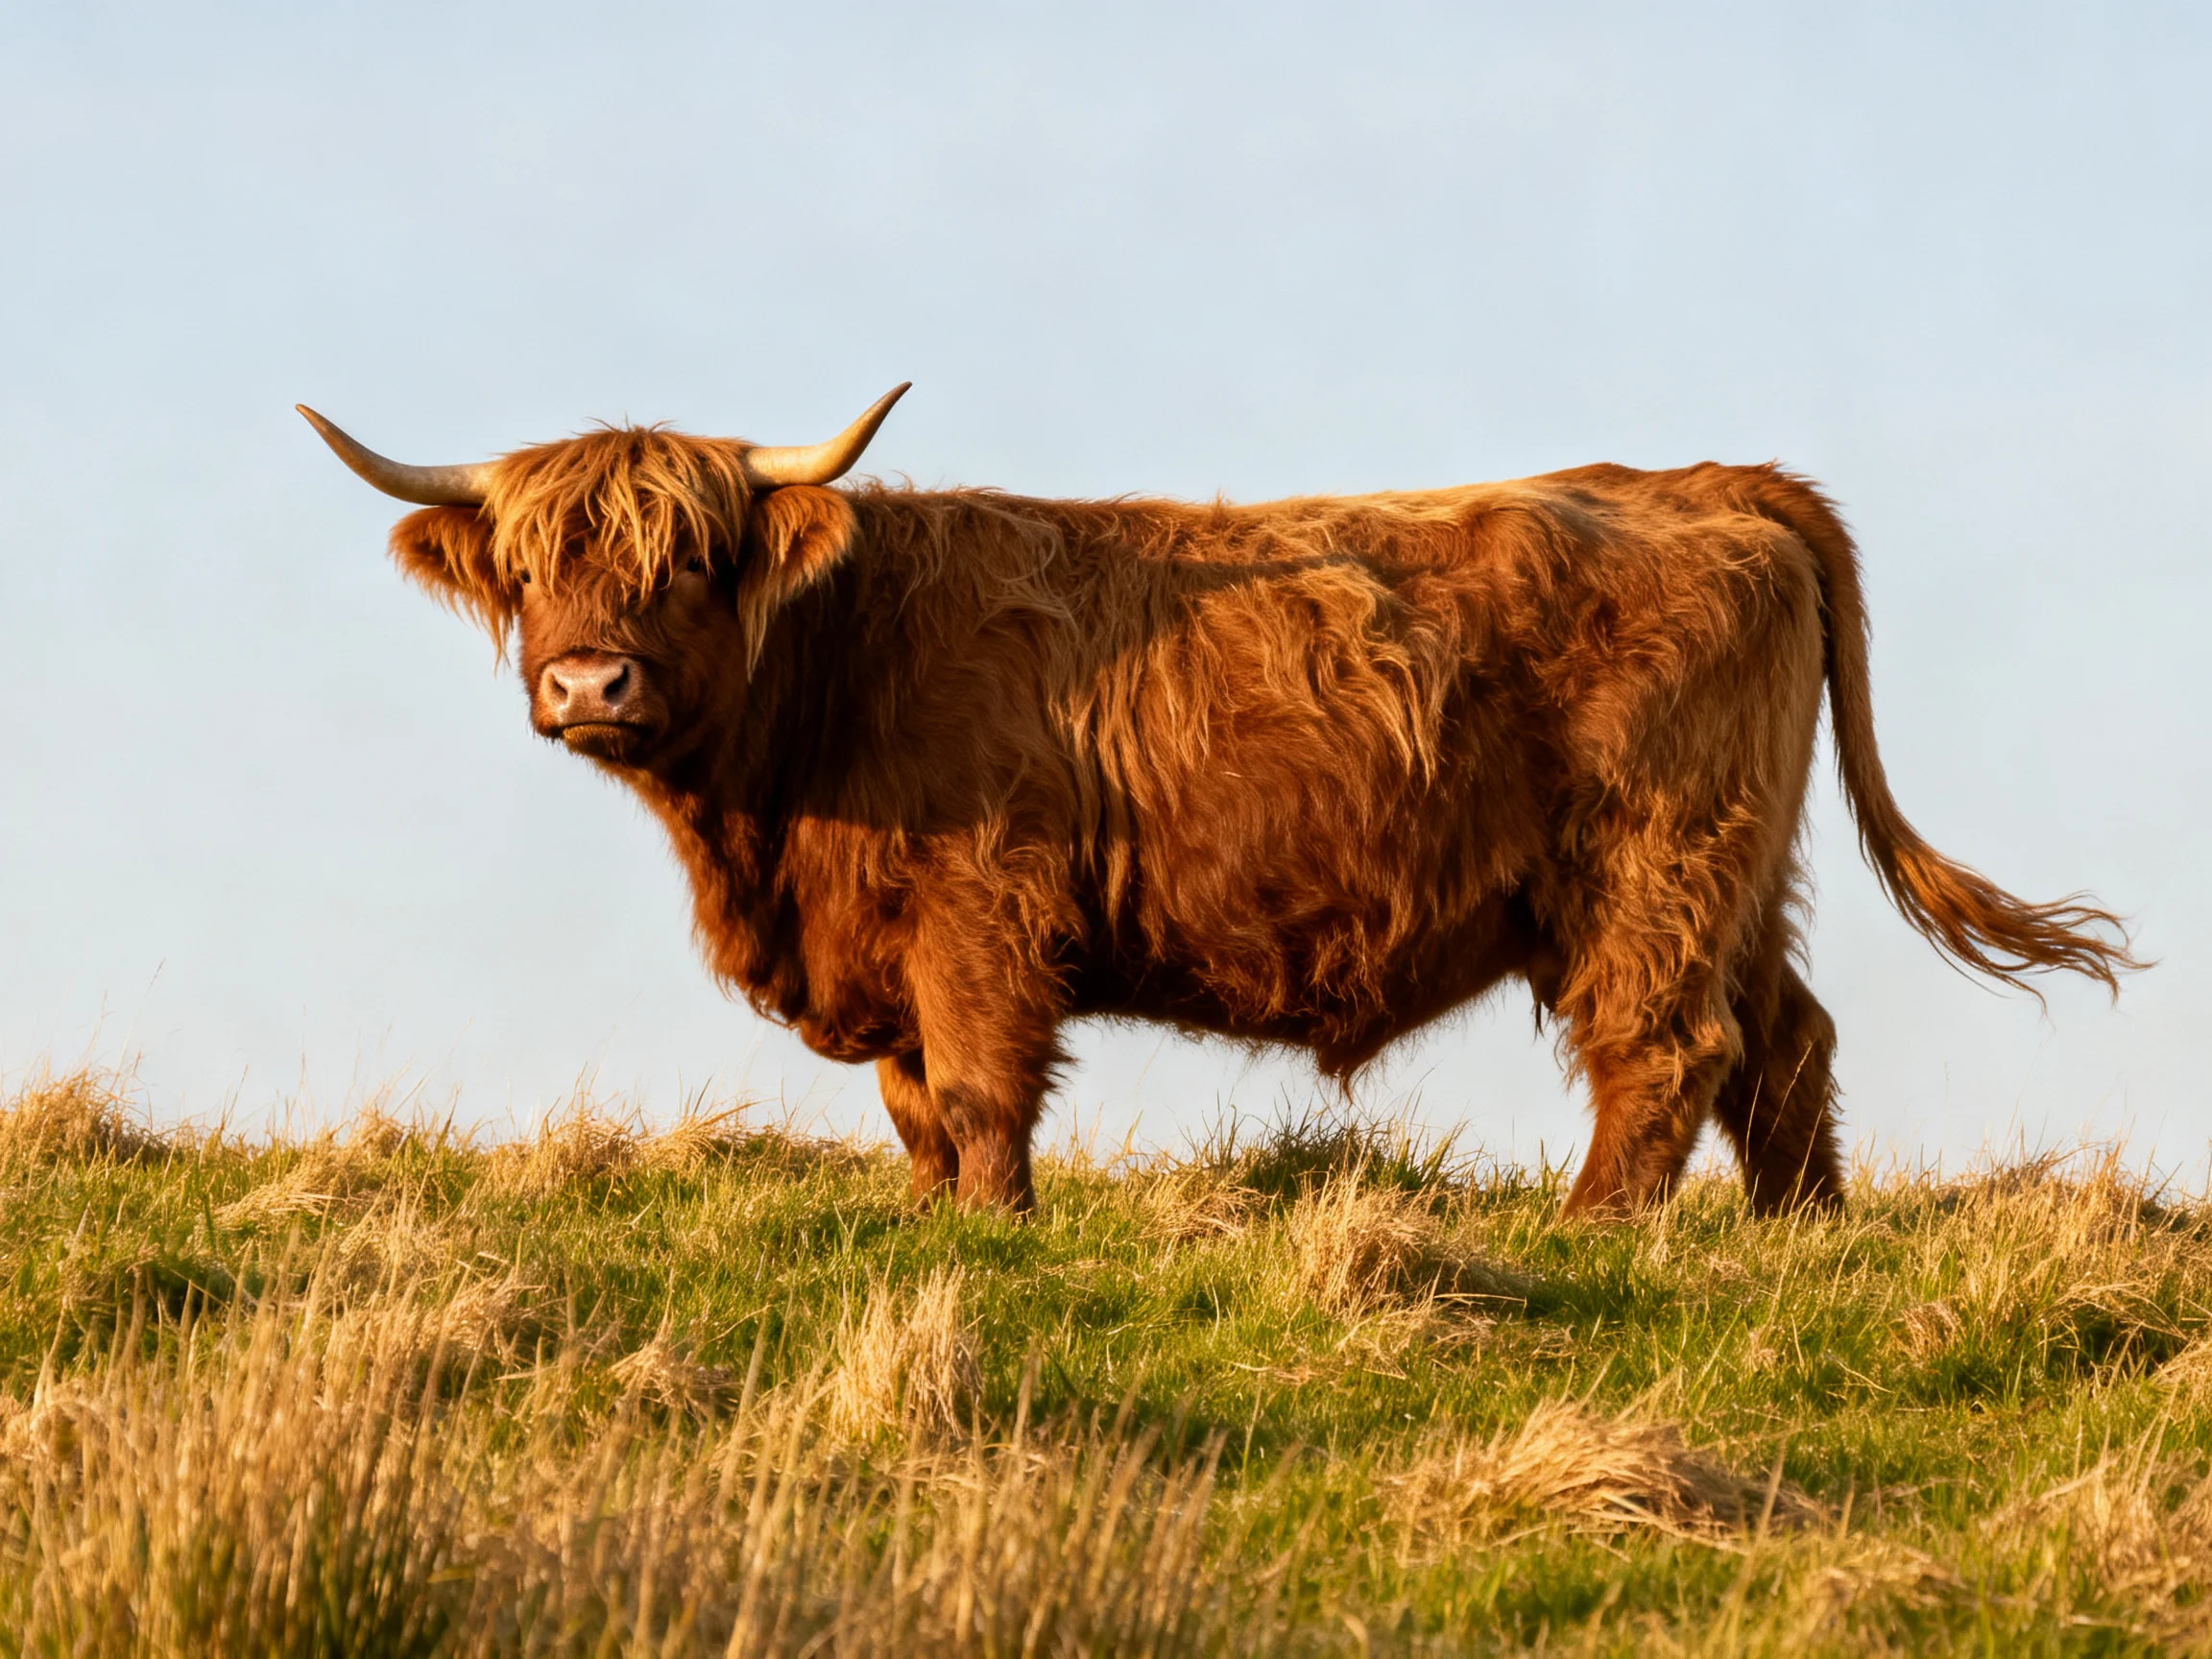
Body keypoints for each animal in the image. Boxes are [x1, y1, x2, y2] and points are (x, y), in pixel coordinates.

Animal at [301, 387, 2134, 1218]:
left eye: (688, 556)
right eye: (534, 566)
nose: (588, 684)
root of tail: (1712, 478)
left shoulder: (980, 914)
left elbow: (979, 1094)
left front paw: (993, 1231)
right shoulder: (888, 954)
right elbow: (912, 1109)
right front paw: (933, 1221)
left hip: (1652, 857)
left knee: (1666, 1045)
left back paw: (1604, 1230)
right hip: (1733, 868)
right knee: (1783, 1040)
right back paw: (1793, 1232)